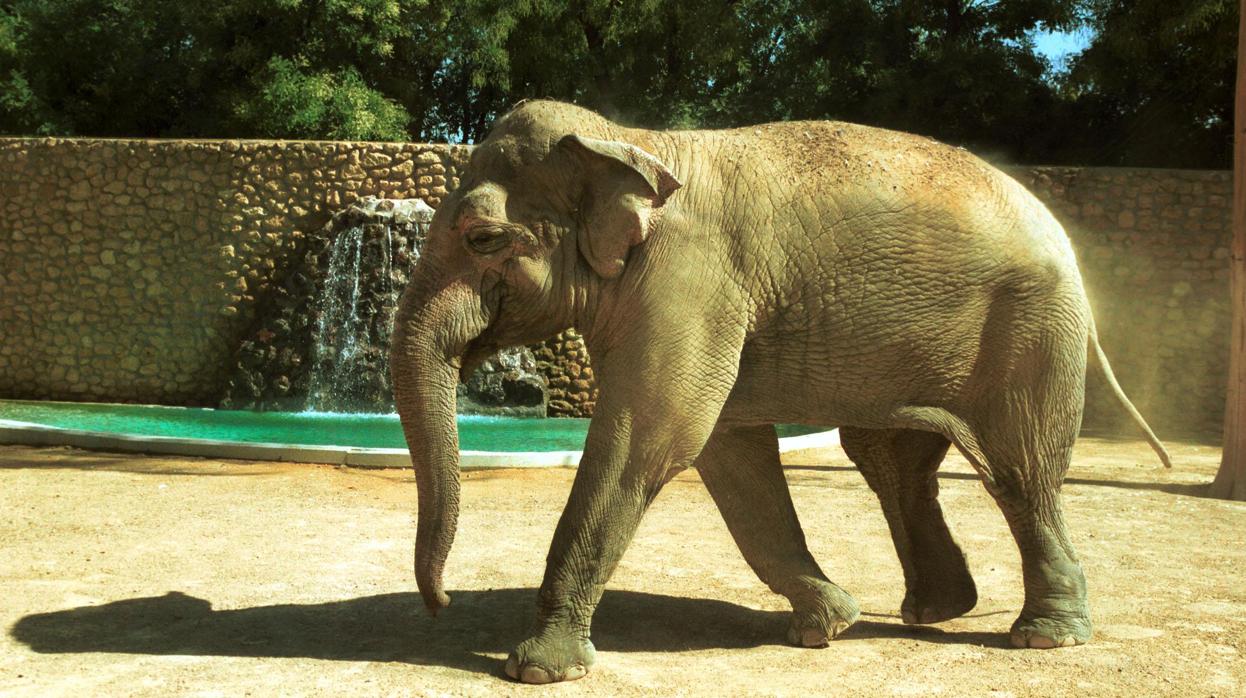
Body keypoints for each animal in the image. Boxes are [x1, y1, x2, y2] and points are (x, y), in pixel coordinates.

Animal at [388, 100, 1171, 684]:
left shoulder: (690, 281)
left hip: (1031, 331)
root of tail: (1061, 236)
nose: (439, 603)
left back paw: (1042, 638)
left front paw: (537, 670)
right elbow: (727, 453)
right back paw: (934, 611)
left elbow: (651, 437)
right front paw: (827, 624)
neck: (633, 141)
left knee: (1019, 471)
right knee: (892, 464)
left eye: (483, 238)